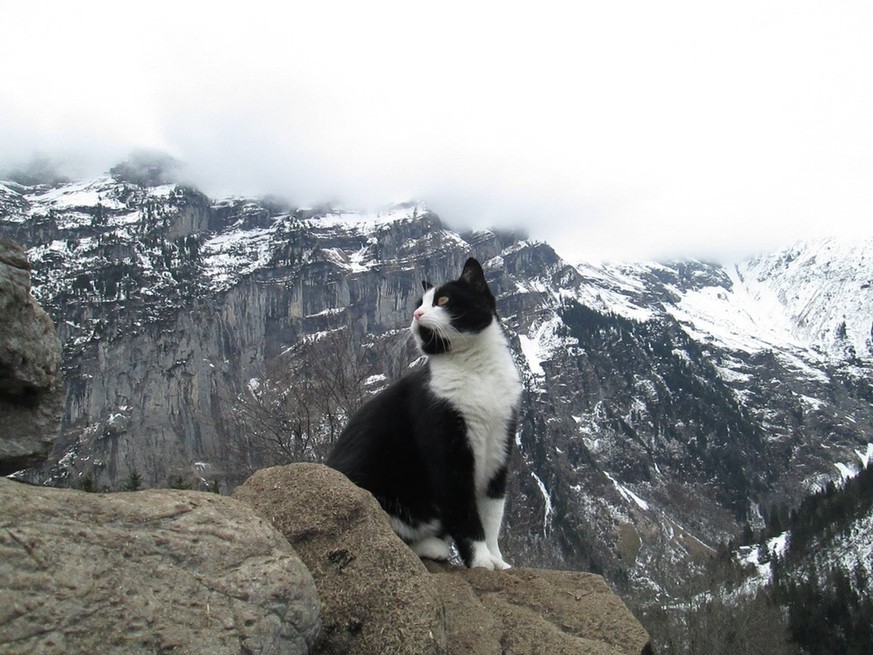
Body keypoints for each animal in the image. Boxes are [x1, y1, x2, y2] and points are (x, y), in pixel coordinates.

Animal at [326, 256, 516, 568]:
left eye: (442, 299)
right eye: (419, 302)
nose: (416, 313)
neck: (476, 370)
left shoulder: (500, 447)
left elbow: (492, 514)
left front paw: (497, 560)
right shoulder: (446, 448)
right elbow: (464, 512)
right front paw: (480, 561)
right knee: (380, 532)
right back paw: (432, 546)